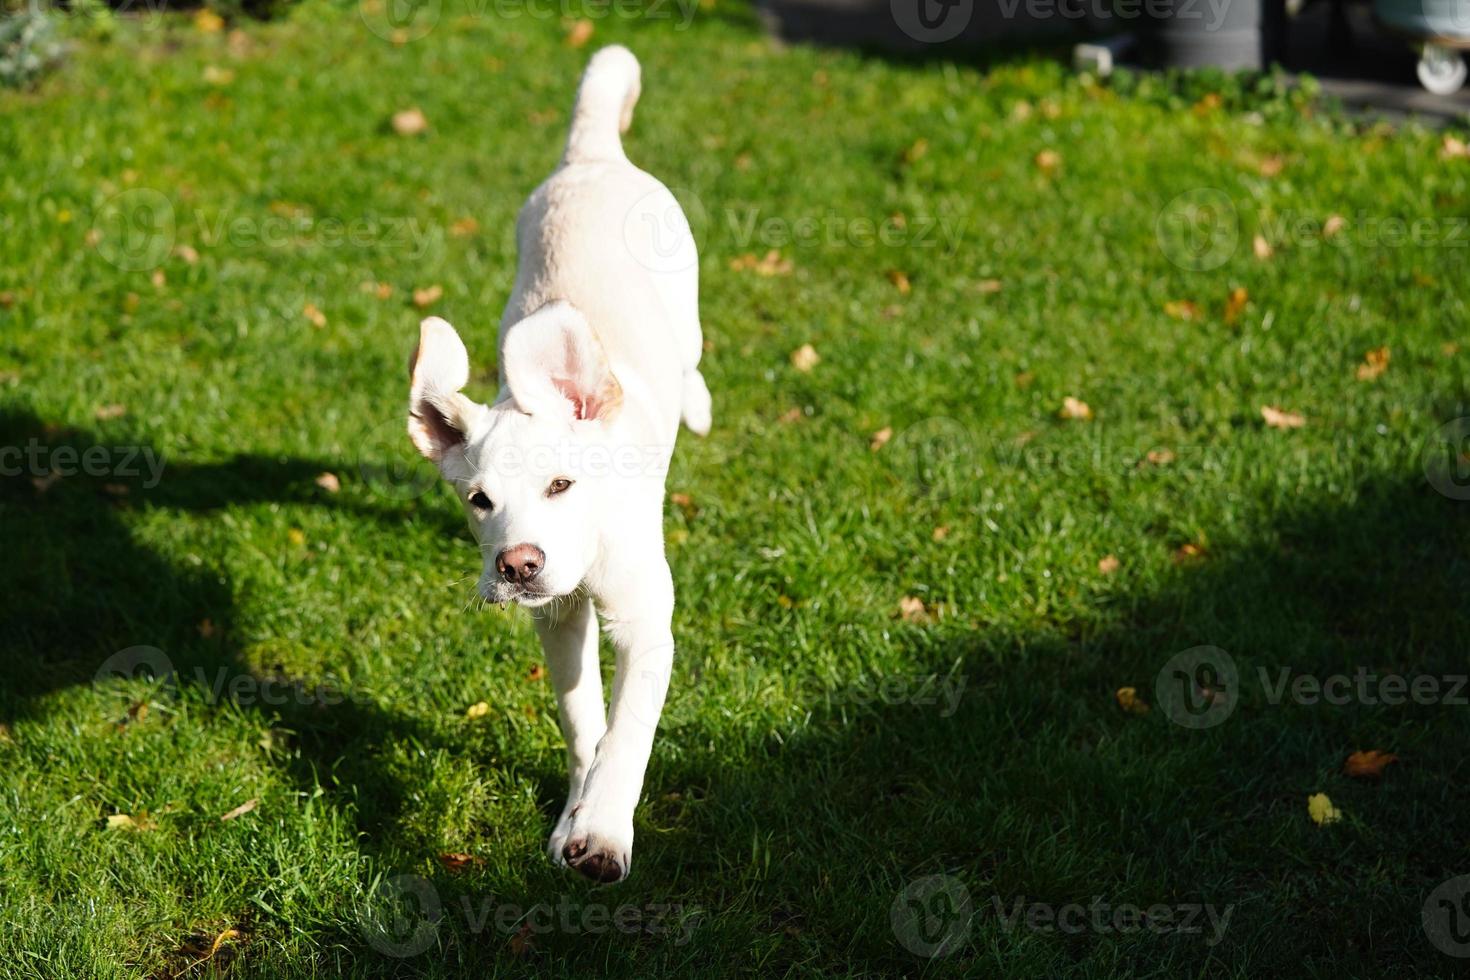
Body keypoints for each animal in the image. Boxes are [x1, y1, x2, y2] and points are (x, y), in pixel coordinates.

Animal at [405, 45, 708, 887]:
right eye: (478, 501)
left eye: (562, 485)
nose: (517, 566)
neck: (591, 545)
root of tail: (593, 158)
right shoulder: (558, 620)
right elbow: (583, 721)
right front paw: (576, 811)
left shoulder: (647, 623)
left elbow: (628, 734)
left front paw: (602, 833)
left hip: (684, 287)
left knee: (691, 355)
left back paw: (695, 401)